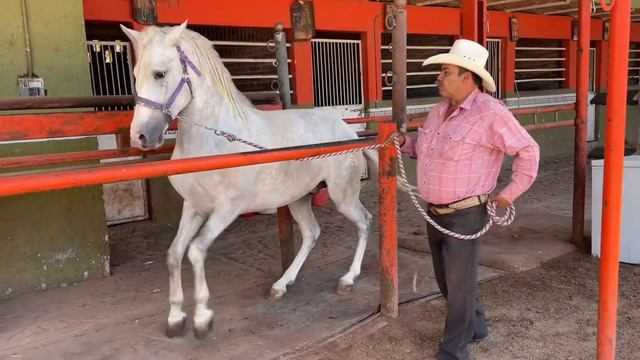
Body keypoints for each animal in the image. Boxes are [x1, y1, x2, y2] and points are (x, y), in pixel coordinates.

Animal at [122, 21, 378, 338]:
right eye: (135, 75)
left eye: (160, 73)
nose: (141, 137)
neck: (216, 139)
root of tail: (348, 131)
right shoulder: (194, 207)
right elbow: (174, 253)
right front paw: (175, 318)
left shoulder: (227, 209)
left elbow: (196, 251)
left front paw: (202, 318)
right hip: (298, 199)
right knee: (311, 233)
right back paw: (281, 285)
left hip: (343, 196)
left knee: (364, 222)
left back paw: (348, 279)